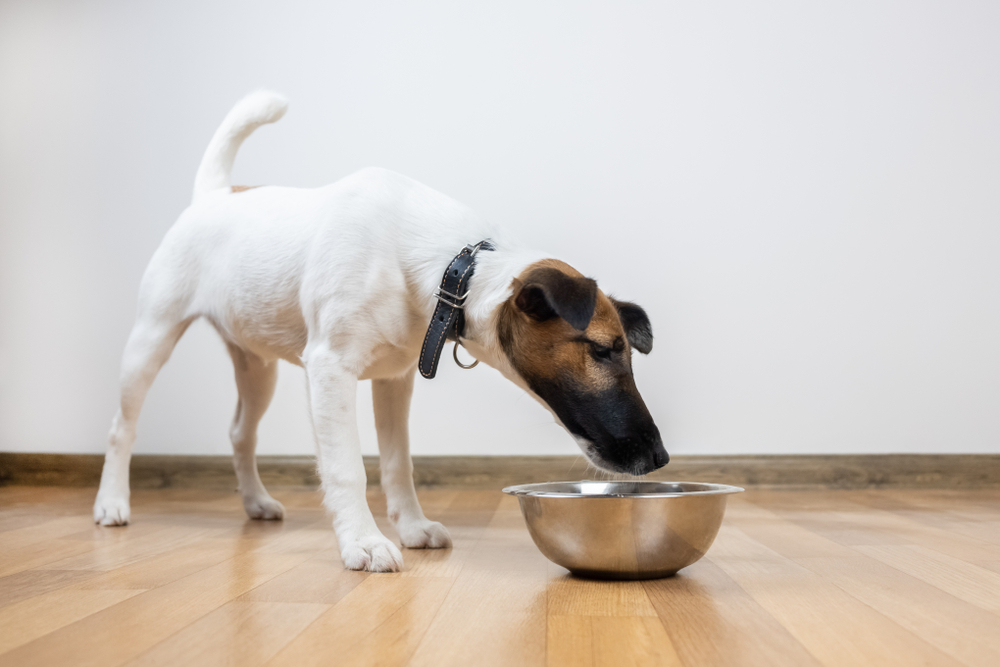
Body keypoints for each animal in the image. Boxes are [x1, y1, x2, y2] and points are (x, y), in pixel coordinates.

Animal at [94, 90, 668, 576]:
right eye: (603, 351)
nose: (660, 458)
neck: (450, 271)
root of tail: (215, 196)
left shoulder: (395, 380)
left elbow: (397, 464)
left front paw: (411, 528)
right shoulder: (330, 371)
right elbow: (349, 467)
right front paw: (363, 542)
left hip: (257, 367)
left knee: (241, 432)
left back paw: (255, 501)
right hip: (150, 340)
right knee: (122, 429)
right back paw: (112, 502)